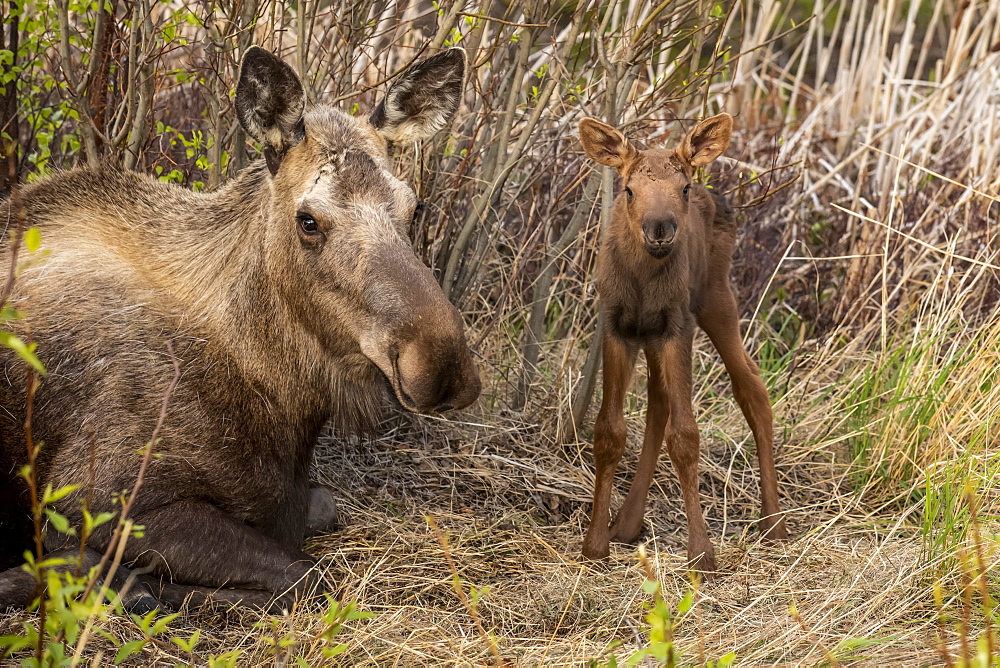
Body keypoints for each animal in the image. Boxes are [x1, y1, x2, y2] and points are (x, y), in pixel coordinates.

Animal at [0, 45, 480, 612]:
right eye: (308, 220)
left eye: (415, 208)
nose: (444, 367)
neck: (281, 398)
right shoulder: (91, 500)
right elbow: (305, 575)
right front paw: (116, 582)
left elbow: (323, 509)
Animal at [580, 113, 788, 576]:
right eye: (629, 188)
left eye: (684, 188)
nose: (660, 228)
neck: (644, 281)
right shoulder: (618, 326)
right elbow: (609, 431)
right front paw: (595, 545)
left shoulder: (678, 326)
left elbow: (686, 435)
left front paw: (702, 553)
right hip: (657, 333)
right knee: (658, 400)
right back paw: (626, 524)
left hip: (715, 298)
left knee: (753, 387)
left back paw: (774, 521)